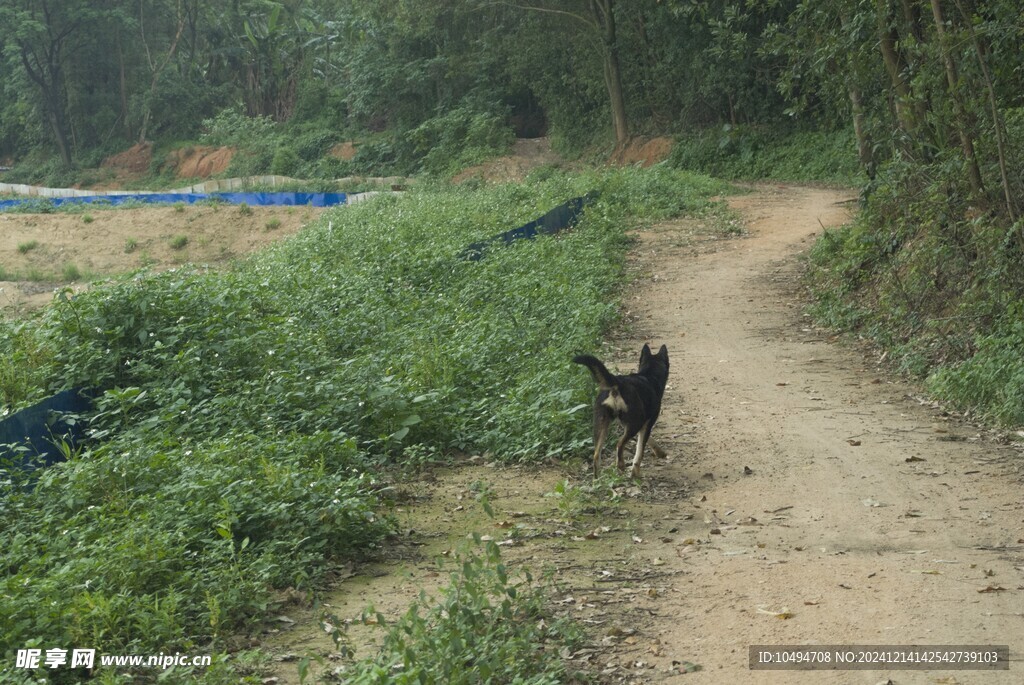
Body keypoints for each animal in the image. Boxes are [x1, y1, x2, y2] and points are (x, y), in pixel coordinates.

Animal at [573, 344, 667, 479]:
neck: (649, 376)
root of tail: (618, 383)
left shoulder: (635, 424)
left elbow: (647, 440)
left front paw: (659, 451)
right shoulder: (646, 422)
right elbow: (639, 452)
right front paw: (635, 473)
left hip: (601, 423)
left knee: (596, 455)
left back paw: (597, 479)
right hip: (634, 423)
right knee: (619, 444)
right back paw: (621, 464)